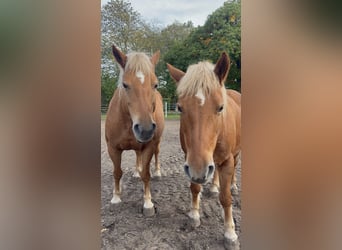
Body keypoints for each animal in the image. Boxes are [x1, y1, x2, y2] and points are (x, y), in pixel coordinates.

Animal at [106, 45, 165, 217]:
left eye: (155, 85)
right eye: (125, 85)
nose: (145, 129)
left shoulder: (149, 146)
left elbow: (146, 174)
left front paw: (148, 203)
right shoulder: (112, 148)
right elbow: (117, 172)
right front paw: (116, 198)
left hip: (156, 142)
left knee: (156, 155)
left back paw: (157, 172)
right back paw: (136, 171)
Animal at [167, 51, 242, 247]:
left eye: (220, 107)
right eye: (180, 108)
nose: (199, 169)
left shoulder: (226, 160)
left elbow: (226, 198)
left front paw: (230, 234)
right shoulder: (190, 158)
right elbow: (194, 187)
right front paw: (194, 216)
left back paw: (234, 186)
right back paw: (214, 186)